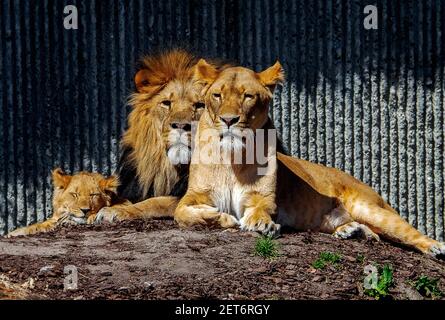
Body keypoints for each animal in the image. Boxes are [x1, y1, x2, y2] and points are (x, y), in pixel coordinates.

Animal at [173, 59, 444, 258]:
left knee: (405, 230)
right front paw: (222, 217)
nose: (229, 120)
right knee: (373, 234)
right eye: (217, 95)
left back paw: (434, 246)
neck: (231, 159)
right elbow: (181, 213)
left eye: (248, 96)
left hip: (370, 209)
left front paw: (262, 224)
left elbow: (260, 210)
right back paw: (352, 231)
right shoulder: (195, 195)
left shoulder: (262, 198)